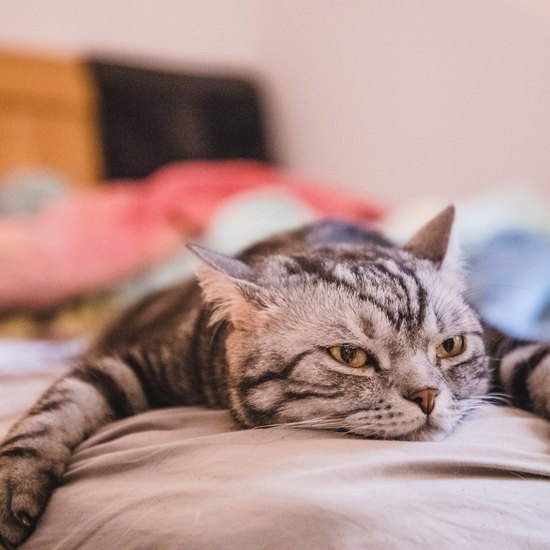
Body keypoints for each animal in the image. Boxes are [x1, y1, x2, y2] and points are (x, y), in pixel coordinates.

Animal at [1, 207, 550, 548]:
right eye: (350, 355)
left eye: (450, 347)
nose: (430, 395)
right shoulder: (131, 364)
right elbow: (58, 406)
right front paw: (11, 487)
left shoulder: (505, 344)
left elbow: (541, 363)